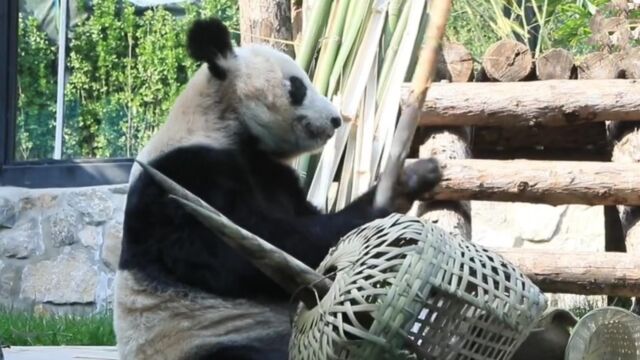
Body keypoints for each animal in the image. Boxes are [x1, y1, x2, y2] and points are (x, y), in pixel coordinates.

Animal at [115, 16, 442, 360]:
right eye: (297, 86)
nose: (336, 120)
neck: (220, 121)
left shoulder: (272, 173)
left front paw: (414, 177)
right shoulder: (184, 178)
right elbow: (247, 250)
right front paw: (384, 205)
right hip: (207, 339)